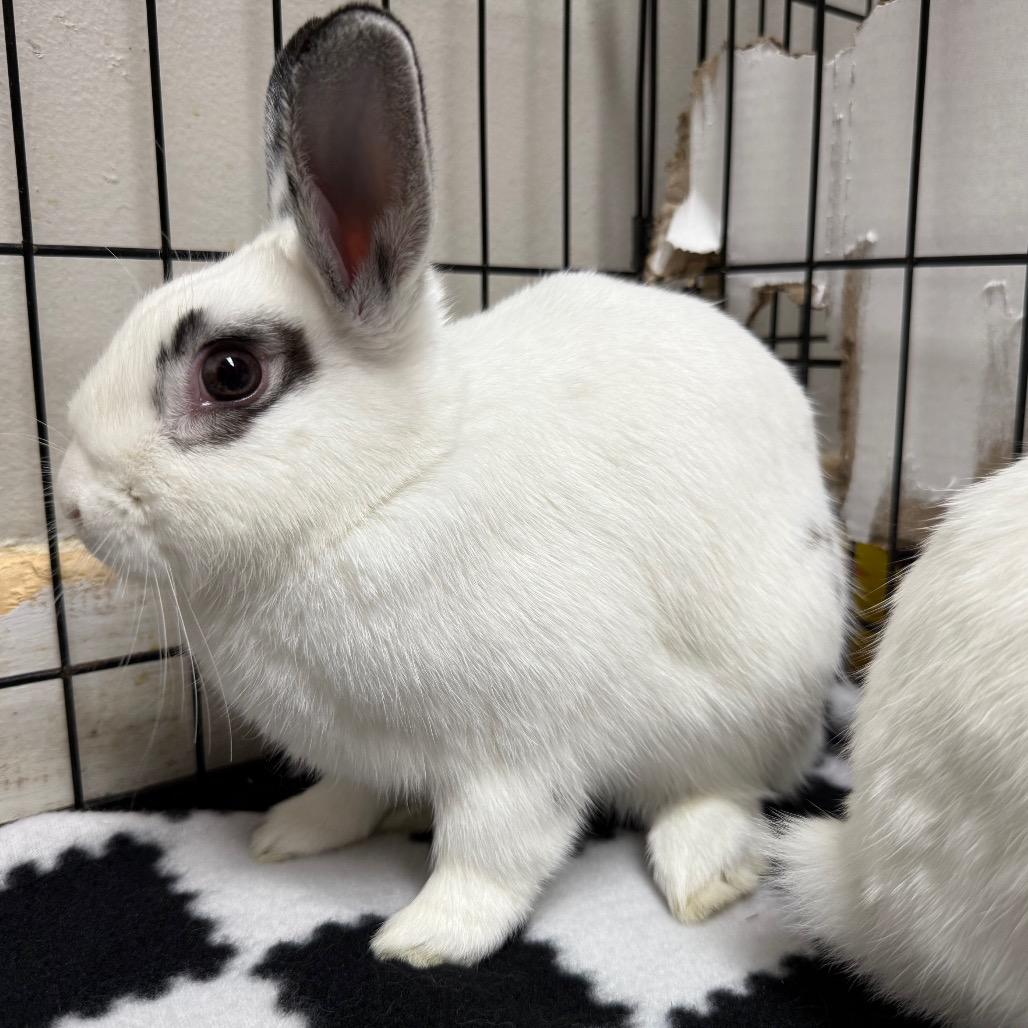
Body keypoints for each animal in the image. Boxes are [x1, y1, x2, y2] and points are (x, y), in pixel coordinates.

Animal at [57, 5, 845, 967]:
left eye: (230, 372)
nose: (74, 503)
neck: (384, 489)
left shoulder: (518, 751)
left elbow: (494, 851)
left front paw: (425, 938)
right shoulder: (356, 745)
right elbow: (348, 790)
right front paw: (291, 833)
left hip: (758, 696)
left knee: (724, 787)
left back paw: (703, 872)